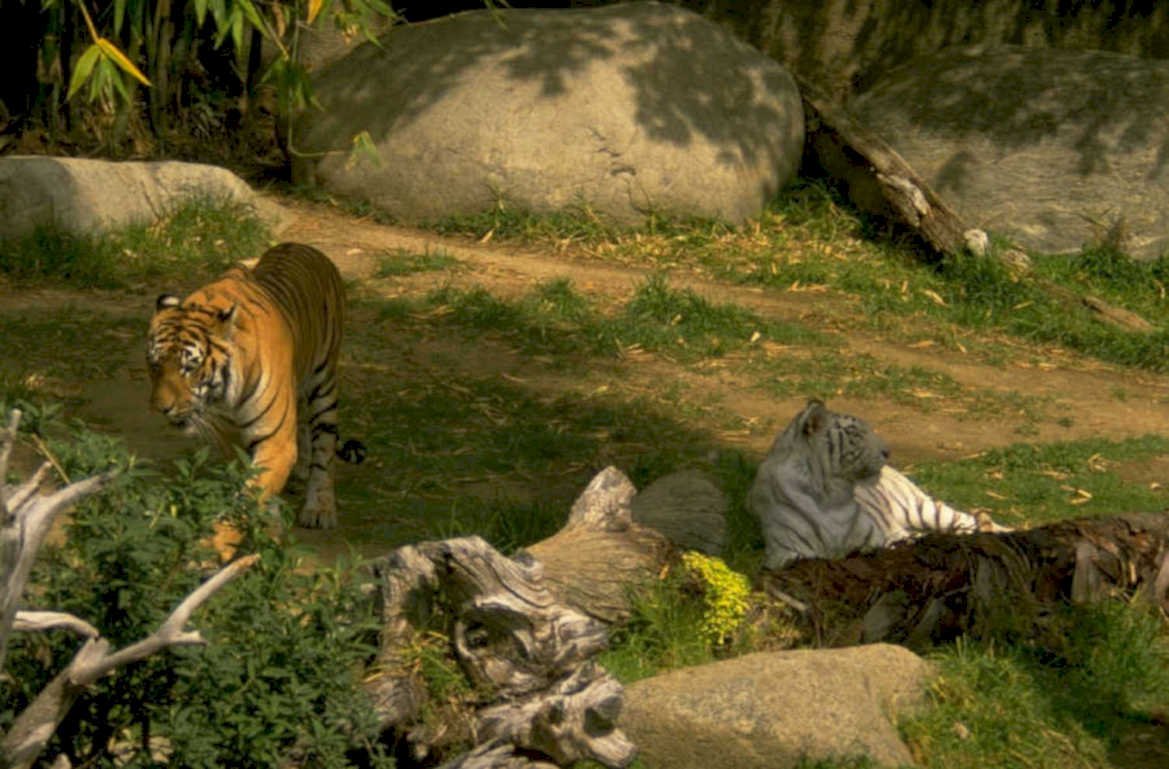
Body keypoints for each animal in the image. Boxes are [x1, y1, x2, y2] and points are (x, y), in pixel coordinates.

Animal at [146, 242, 362, 530]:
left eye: (190, 367)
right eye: (154, 364)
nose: (161, 408)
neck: (225, 398)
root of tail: (303, 246)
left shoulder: (276, 441)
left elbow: (253, 491)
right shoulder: (232, 443)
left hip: (323, 383)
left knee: (324, 446)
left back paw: (319, 507)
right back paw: (301, 470)